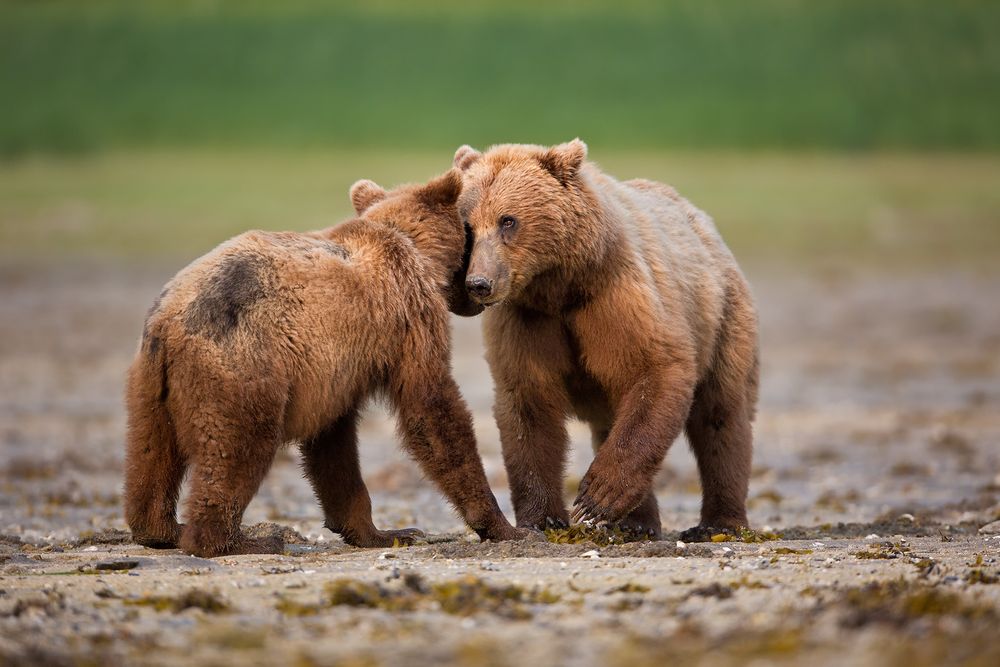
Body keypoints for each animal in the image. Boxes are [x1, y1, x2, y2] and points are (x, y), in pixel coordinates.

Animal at [123, 169, 524, 557]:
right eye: (472, 231)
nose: (479, 289)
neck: (413, 247)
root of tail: (171, 321)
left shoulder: (332, 369)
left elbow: (334, 445)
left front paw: (382, 532)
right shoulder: (409, 318)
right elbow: (432, 407)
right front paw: (503, 527)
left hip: (149, 384)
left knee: (151, 453)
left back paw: (160, 529)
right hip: (242, 367)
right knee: (237, 445)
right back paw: (241, 541)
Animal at [453, 139, 759, 540]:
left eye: (508, 220)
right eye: (468, 226)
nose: (479, 284)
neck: (559, 288)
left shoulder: (615, 298)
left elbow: (657, 369)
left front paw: (596, 498)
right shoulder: (526, 321)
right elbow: (529, 407)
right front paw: (543, 519)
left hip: (723, 317)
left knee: (721, 415)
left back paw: (717, 523)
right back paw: (635, 523)